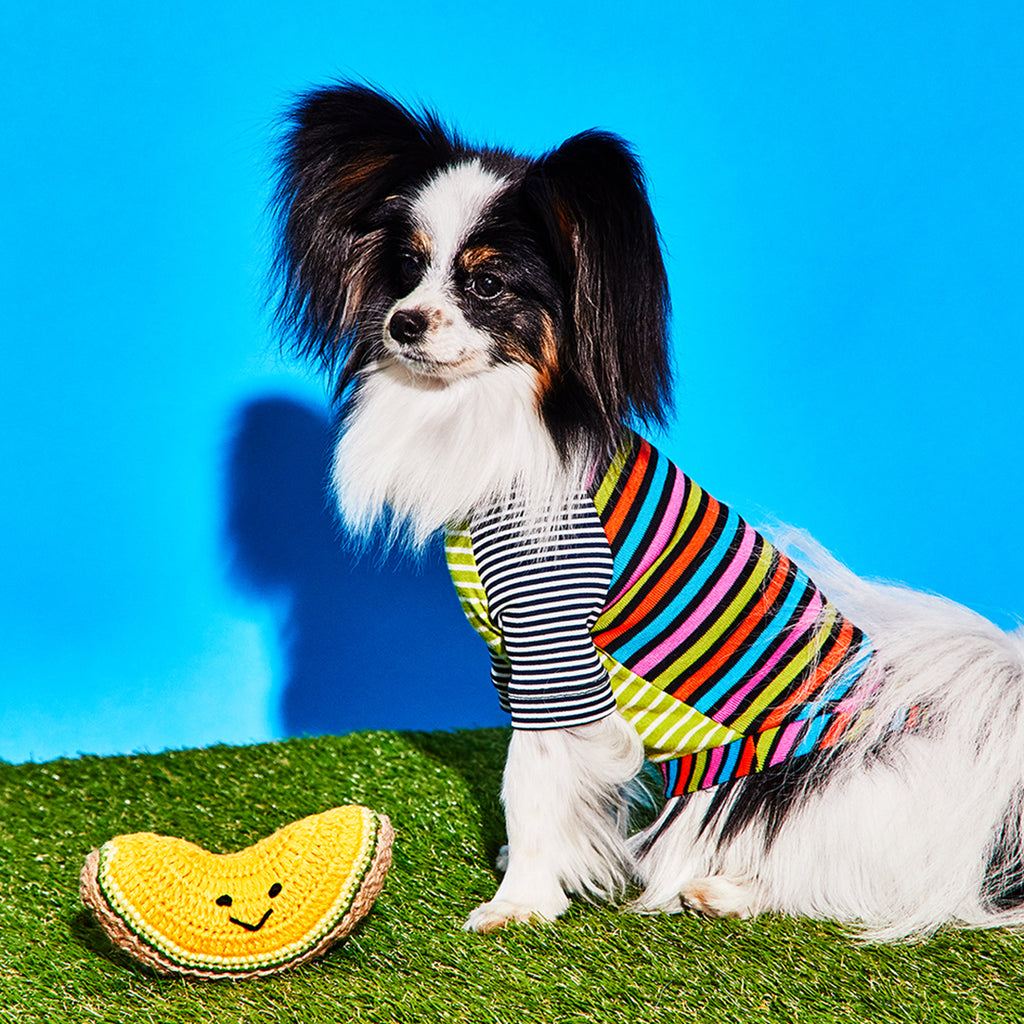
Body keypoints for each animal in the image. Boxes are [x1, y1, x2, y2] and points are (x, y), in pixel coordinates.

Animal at [270, 83, 1024, 937]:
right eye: (405, 269)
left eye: (486, 285)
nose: (402, 323)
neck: (498, 412)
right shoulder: (514, 658)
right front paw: (552, 865)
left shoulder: (552, 644)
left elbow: (527, 778)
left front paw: (520, 900)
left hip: (787, 794)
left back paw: (725, 891)